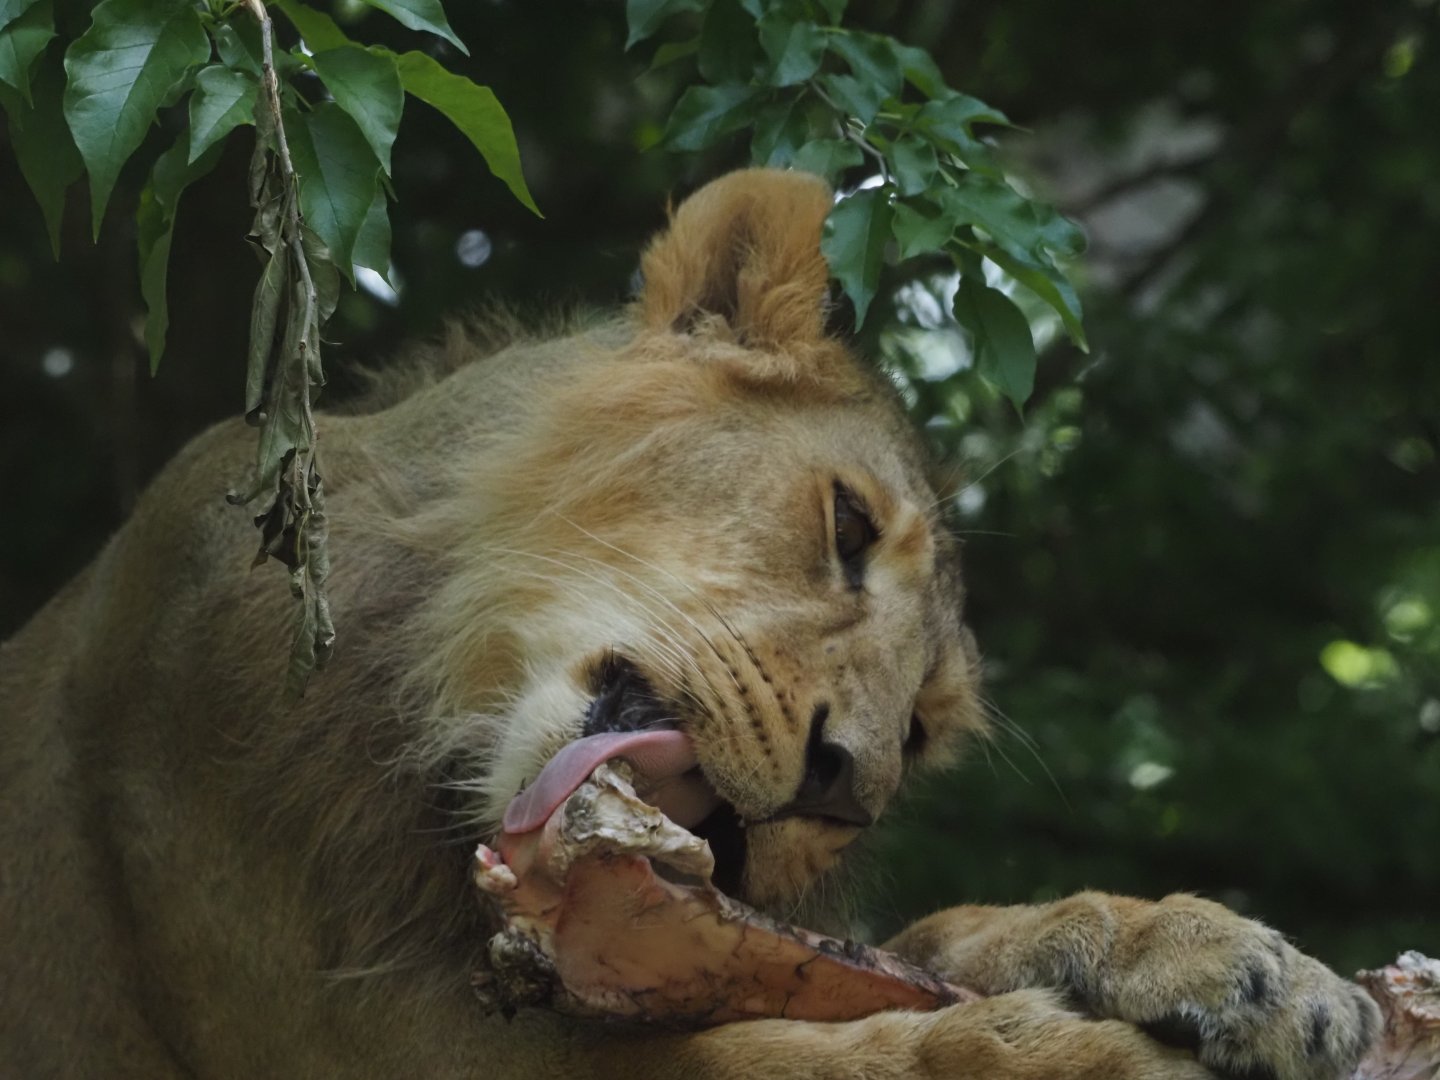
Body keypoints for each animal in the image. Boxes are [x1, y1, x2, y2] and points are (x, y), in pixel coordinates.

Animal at [0, 169, 1377, 1079]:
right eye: (847, 526)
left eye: (923, 734)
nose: (844, 788)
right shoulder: (349, 1016)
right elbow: (755, 1065)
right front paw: (1050, 1053)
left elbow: (916, 942)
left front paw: (1229, 963)